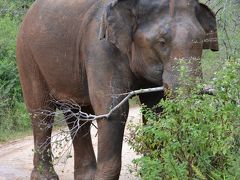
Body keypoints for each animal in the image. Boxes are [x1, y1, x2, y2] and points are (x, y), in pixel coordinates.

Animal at [15, 0, 218, 179]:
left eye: (202, 41)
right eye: (162, 42)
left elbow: (156, 109)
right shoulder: (99, 47)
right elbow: (113, 110)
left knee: (77, 117)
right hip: (27, 56)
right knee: (42, 113)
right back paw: (45, 176)